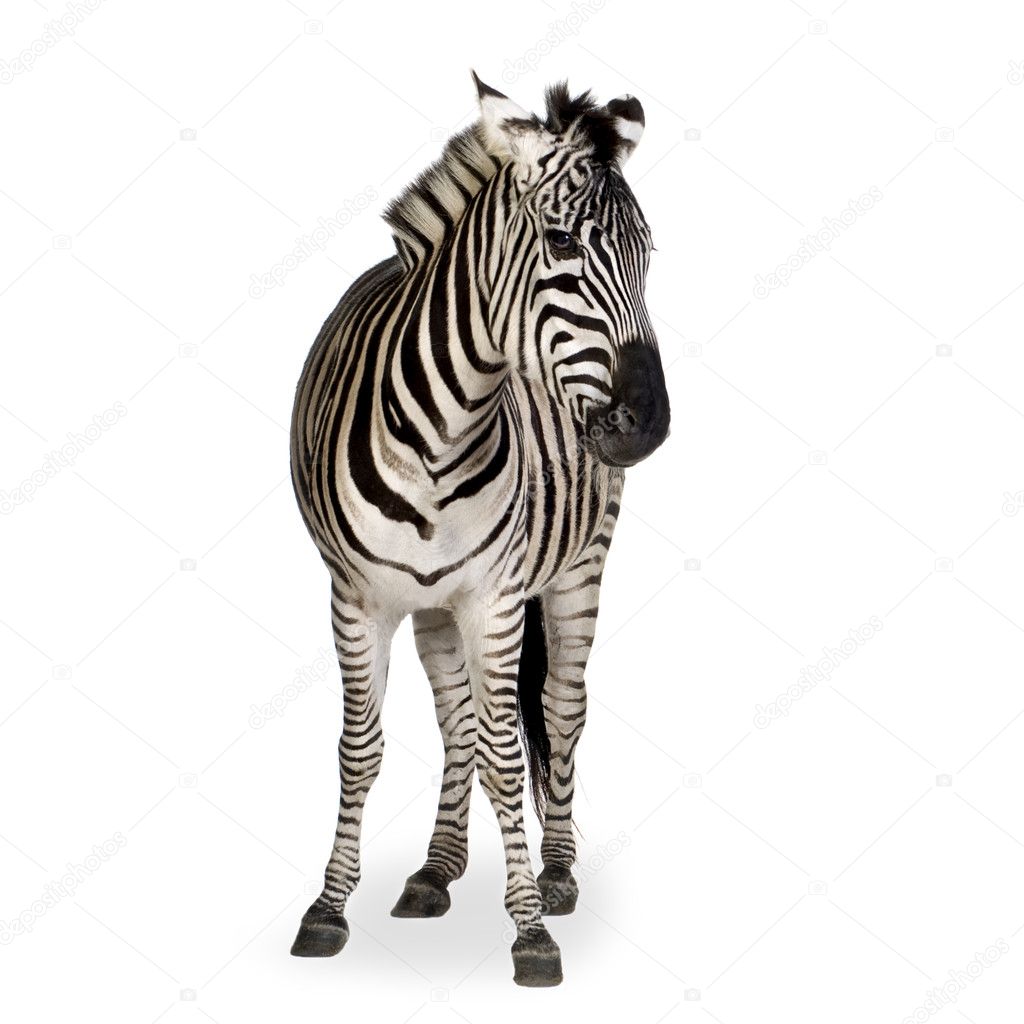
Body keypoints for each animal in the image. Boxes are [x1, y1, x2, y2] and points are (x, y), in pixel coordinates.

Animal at [288, 72, 671, 986]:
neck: (439, 432)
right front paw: (329, 906)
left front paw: (529, 927)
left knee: (561, 710)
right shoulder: (355, 599)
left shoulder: (495, 601)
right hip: (433, 606)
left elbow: (506, 752)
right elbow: (363, 748)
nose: (648, 424)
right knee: (457, 720)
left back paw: (558, 870)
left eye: (650, 254)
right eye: (561, 242)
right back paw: (436, 869)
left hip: (578, 567)